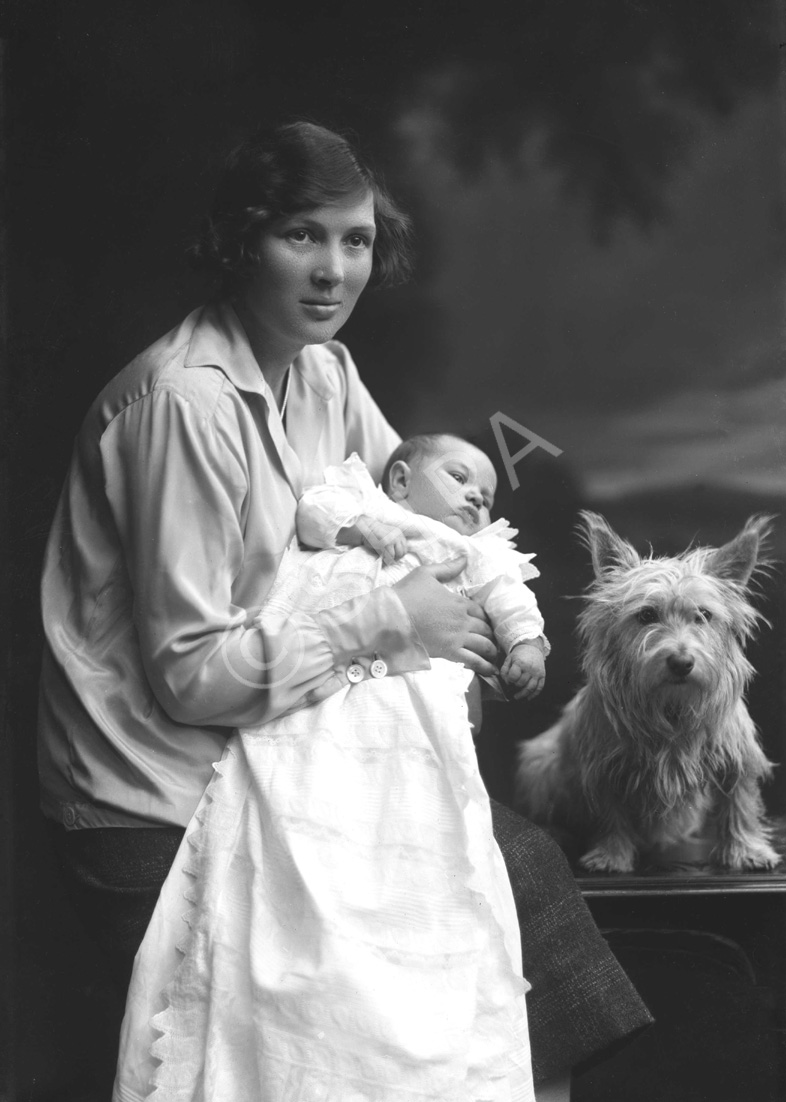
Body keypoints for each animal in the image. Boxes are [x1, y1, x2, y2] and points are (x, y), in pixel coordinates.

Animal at [515, 511, 780, 872]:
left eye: (703, 615)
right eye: (646, 615)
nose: (681, 662)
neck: (670, 708)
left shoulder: (735, 755)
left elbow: (740, 802)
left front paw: (747, 850)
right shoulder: (602, 768)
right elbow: (609, 814)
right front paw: (611, 855)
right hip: (540, 763)